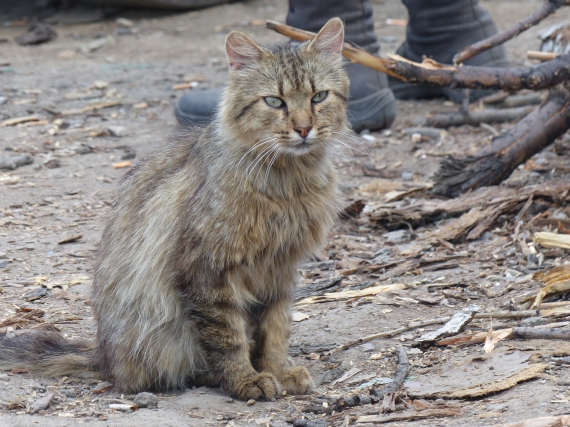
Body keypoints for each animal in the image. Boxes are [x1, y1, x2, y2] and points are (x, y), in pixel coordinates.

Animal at [0, 17, 350, 402]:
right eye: (274, 101)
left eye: (319, 97)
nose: (304, 129)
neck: (288, 183)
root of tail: (104, 356)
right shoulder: (208, 271)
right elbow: (228, 338)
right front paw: (246, 380)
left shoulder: (280, 268)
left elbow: (274, 330)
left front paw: (277, 370)